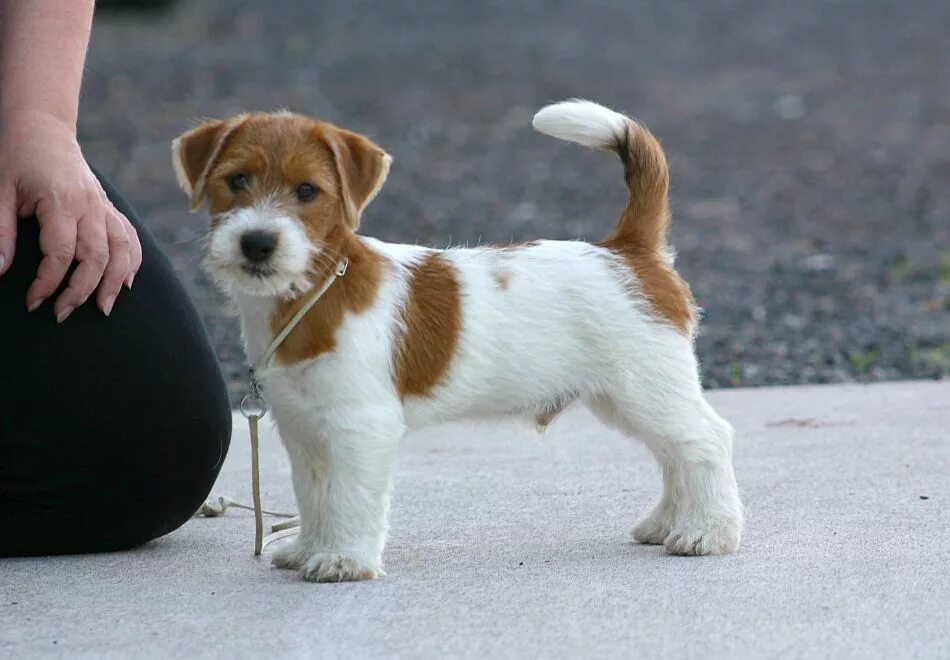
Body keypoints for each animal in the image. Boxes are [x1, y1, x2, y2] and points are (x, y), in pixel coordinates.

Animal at [175, 99, 748, 584]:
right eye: (237, 180)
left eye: (307, 192)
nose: (257, 242)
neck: (313, 293)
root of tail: (628, 251)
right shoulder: (302, 428)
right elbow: (315, 494)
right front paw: (308, 548)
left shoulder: (360, 426)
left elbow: (349, 497)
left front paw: (344, 559)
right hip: (625, 398)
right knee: (675, 454)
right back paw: (667, 523)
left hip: (645, 386)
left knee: (706, 441)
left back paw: (708, 532)